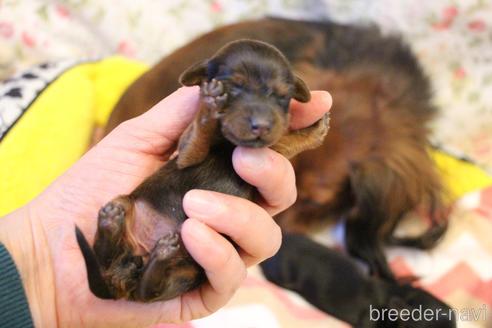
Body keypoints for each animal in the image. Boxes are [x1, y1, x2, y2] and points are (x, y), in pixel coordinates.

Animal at [77, 39, 328, 304]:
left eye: (282, 96)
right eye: (233, 87)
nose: (261, 126)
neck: (228, 146)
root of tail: (126, 273)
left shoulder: (271, 148)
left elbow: (284, 143)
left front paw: (315, 130)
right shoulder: (186, 153)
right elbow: (198, 136)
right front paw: (209, 104)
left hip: (187, 274)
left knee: (148, 290)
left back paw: (157, 253)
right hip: (128, 208)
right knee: (110, 261)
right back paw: (111, 223)